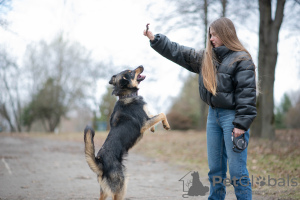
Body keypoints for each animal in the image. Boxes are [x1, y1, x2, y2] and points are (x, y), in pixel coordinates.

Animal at [83, 66, 170, 200]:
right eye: (131, 72)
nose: (141, 65)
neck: (127, 95)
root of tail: (101, 164)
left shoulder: (146, 119)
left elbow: (152, 115)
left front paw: (153, 128)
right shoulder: (143, 124)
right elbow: (161, 114)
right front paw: (166, 125)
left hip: (104, 190)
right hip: (121, 186)